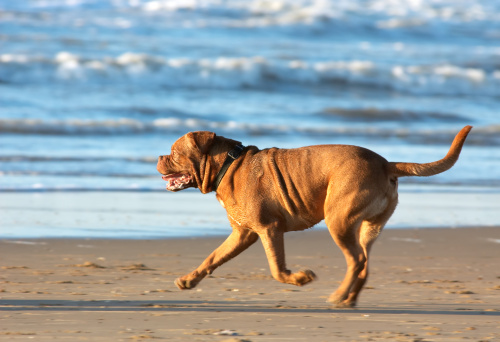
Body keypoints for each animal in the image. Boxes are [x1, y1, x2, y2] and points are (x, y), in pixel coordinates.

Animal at [157, 125, 472, 308]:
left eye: (173, 152)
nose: (158, 157)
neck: (228, 164)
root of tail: (385, 164)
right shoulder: (242, 233)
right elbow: (212, 258)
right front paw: (189, 280)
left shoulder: (268, 229)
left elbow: (277, 269)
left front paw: (299, 278)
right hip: (369, 227)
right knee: (364, 262)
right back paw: (349, 298)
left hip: (339, 221)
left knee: (356, 260)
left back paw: (338, 296)